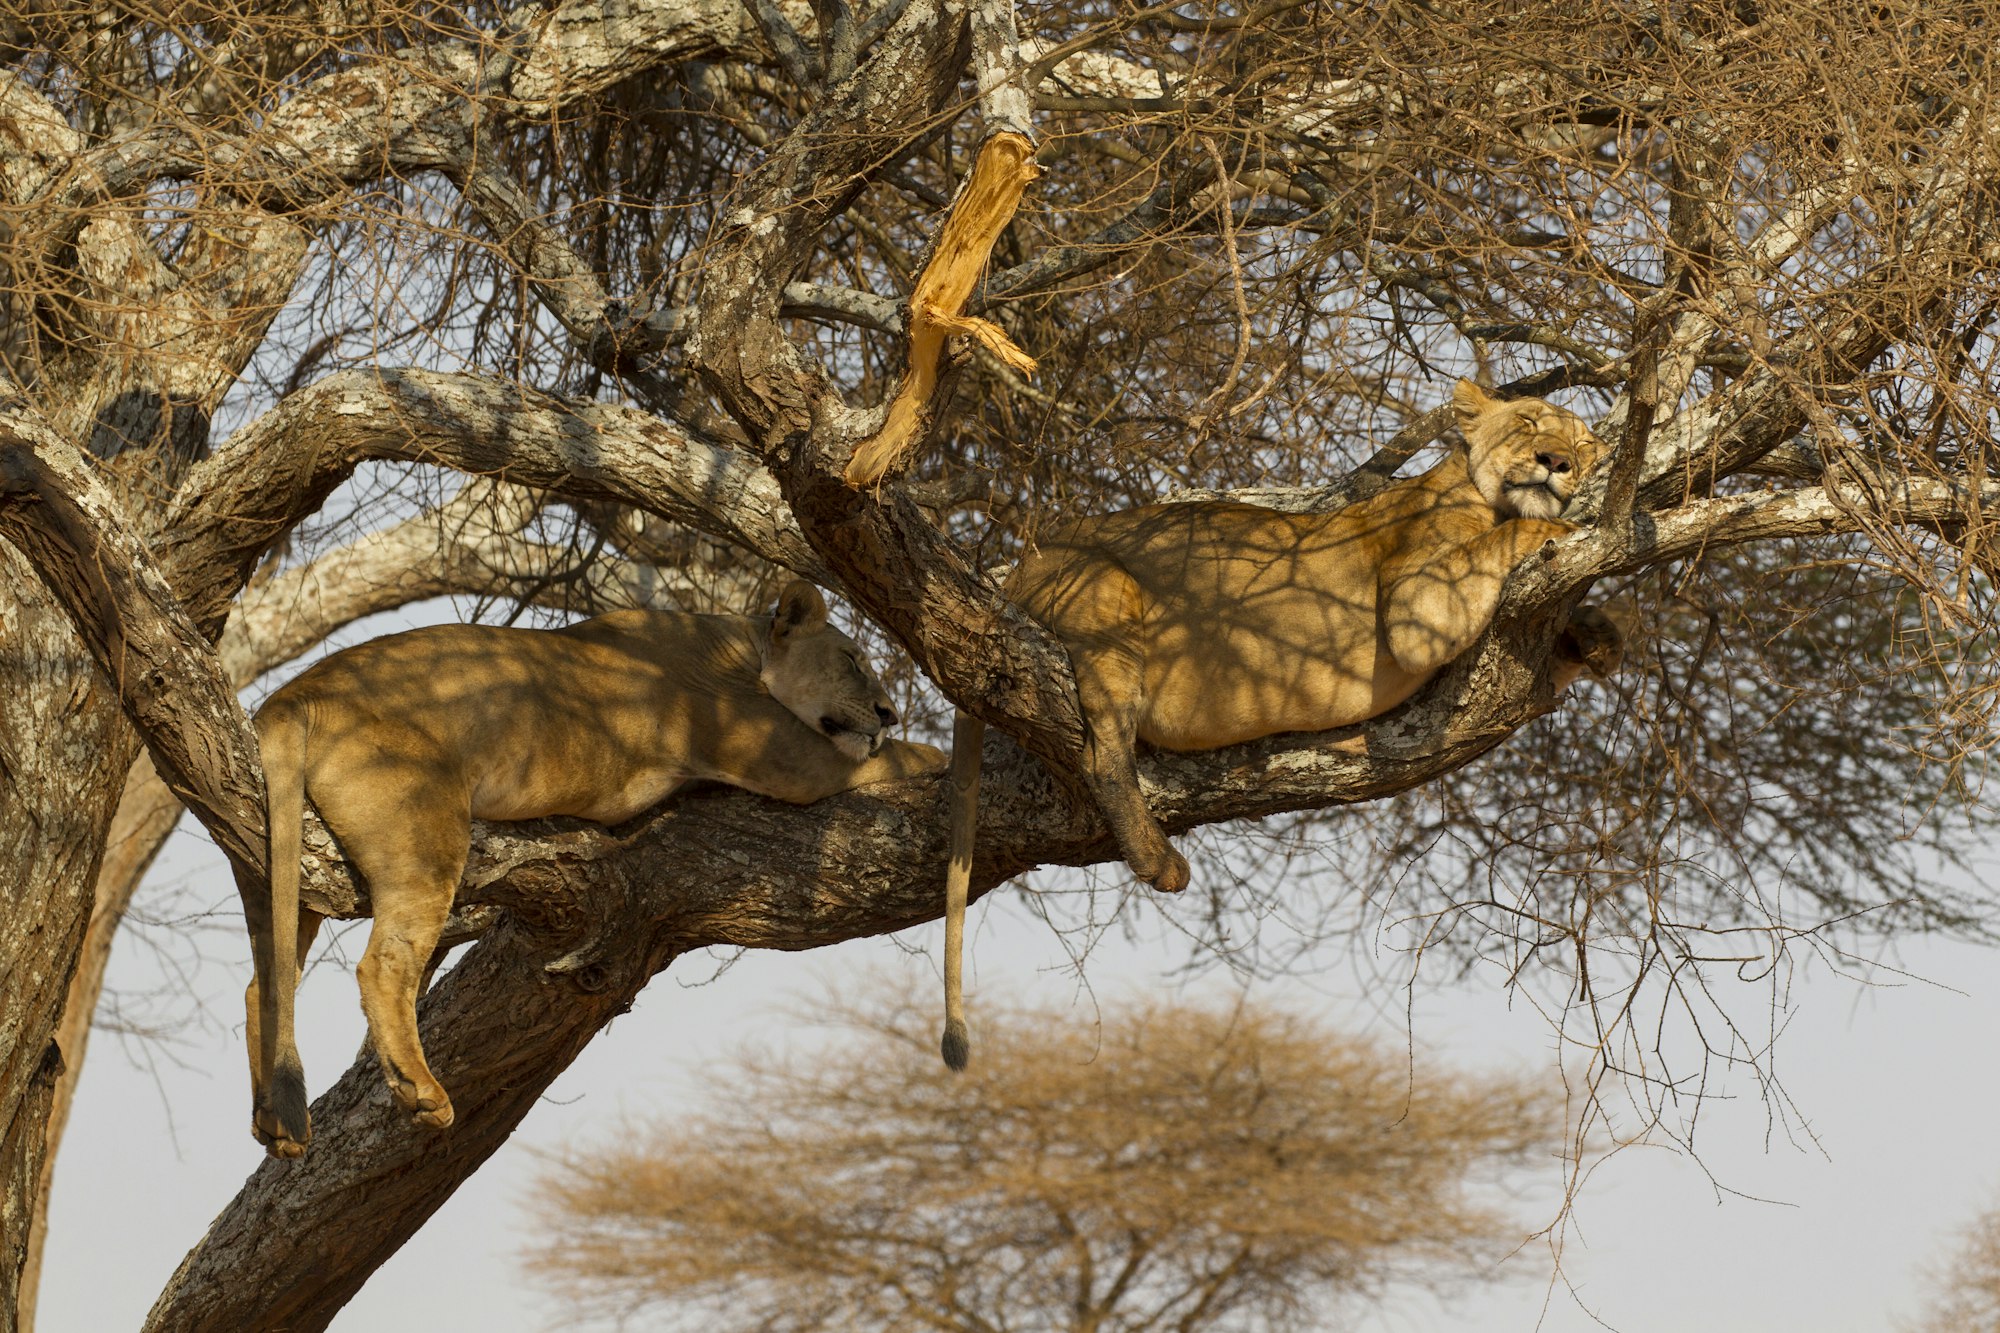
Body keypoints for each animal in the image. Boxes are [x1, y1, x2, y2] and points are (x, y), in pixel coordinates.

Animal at [244, 580, 944, 1152]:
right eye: (851, 659)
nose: (888, 712)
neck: (740, 647)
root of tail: (293, 694)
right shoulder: (789, 757)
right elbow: (894, 757)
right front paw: (941, 751)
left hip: (280, 865)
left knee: (267, 980)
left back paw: (274, 1123)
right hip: (423, 831)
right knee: (383, 964)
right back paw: (422, 1093)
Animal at [940, 378, 1624, 1064]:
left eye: (1584, 442)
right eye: (1529, 421)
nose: (1557, 461)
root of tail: (1017, 567)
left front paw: (1599, 636)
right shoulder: (1419, 604)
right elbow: (1512, 538)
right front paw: (1558, 528)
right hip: (1108, 594)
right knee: (1101, 753)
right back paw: (1157, 858)